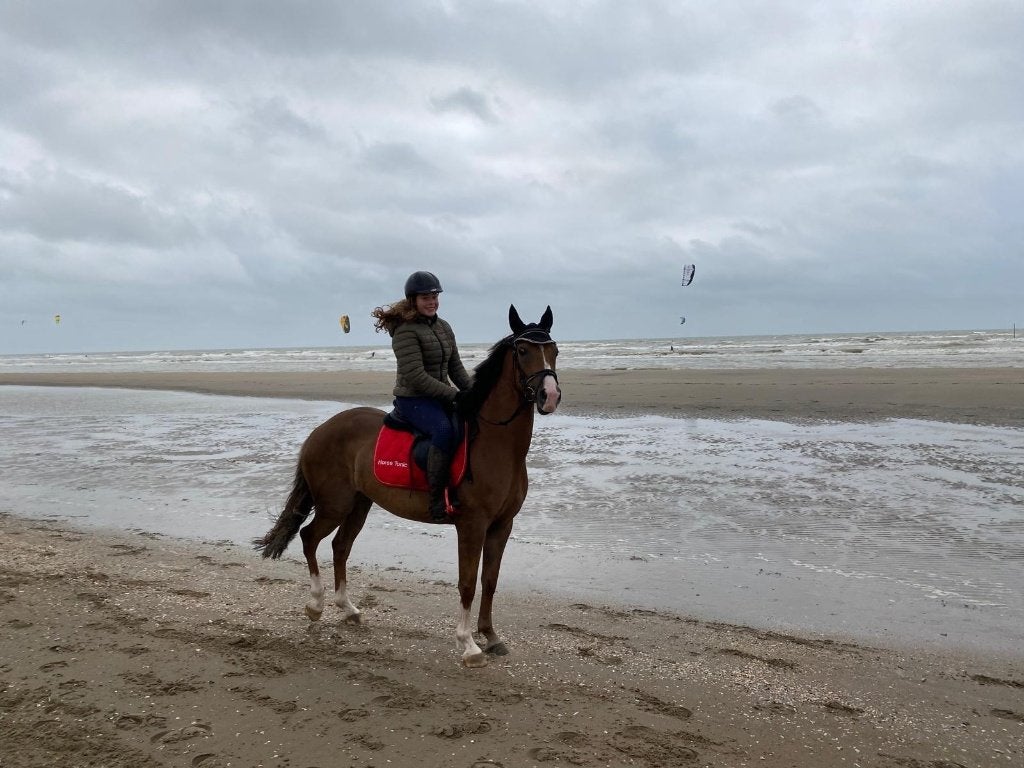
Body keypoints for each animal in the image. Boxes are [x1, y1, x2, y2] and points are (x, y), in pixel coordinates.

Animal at [253, 305, 561, 667]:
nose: (549, 396)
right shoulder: (471, 525)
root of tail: (321, 430)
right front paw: (469, 645)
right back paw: (316, 605)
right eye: (523, 350)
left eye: (554, 350)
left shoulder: (502, 525)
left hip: (359, 504)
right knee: (309, 537)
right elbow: (468, 582)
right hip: (334, 504)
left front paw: (490, 636)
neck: (496, 443)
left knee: (340, 546)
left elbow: (490, 580)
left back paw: (349, 609)